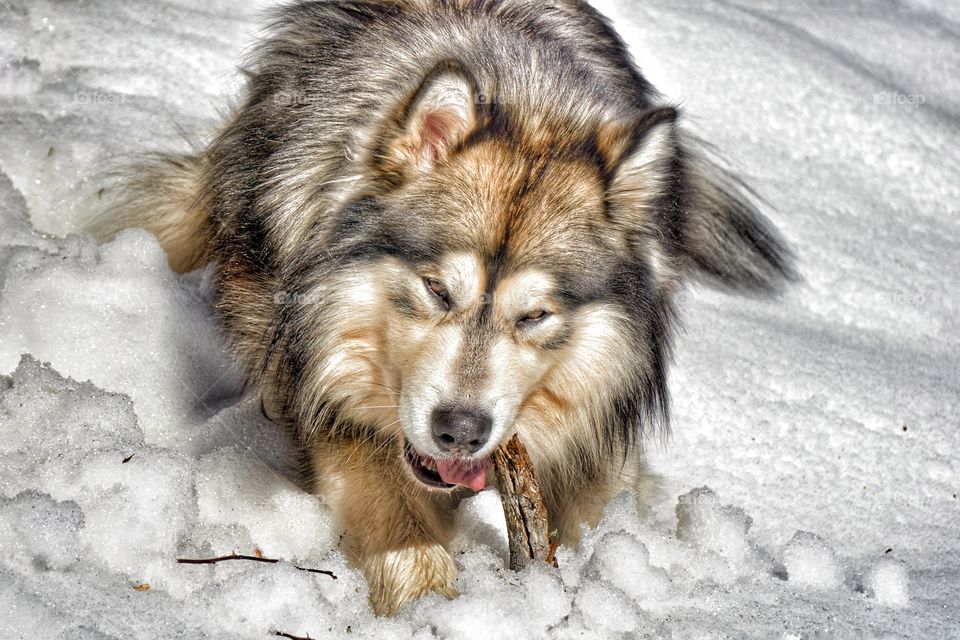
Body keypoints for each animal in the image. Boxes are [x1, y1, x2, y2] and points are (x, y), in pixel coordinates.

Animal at [91, 0, 794, 615]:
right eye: (437, 290)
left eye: (534, 316)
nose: (460, 430)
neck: (527, 103)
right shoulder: (335, 404)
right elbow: (403, 534)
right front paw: (439, 609)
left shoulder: (599, 424)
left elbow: (598, 509)